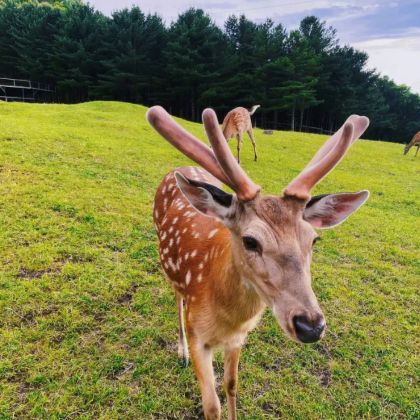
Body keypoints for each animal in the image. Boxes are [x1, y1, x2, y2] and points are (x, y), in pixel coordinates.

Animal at [146, 106, 370, 420]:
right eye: (250, 241)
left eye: (314, 240)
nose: (311, 326)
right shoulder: (197, 334)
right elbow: (211, 406)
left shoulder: (239, 339)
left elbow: (231, 385)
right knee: (177, 298)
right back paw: (180, 353)